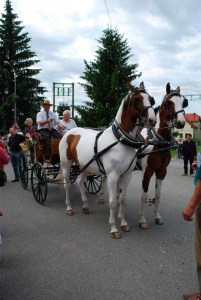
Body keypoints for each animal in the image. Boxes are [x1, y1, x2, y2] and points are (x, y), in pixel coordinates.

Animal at [59, 82, 156, 239]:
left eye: (151, 99)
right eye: (136, 99)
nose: (152, 120)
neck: (120, 139)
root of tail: (68, 132)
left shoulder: (126, 175)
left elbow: (121, 199)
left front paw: (123, 223)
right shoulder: (112, 176)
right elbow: (112, 202)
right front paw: (113, 228)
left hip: (84, 165)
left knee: (79, 182)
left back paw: (85, 205)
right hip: (66, 164)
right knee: (67, 184)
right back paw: (69, 207)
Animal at [137, 82, 188, 227]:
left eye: (183, 102)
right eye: (169, 102)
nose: (181, 122)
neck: (158, 141)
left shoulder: (161, 171)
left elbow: (158, 195)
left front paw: (157, 216)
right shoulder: (147, 171)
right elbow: (144, 195)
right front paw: (142, 220)